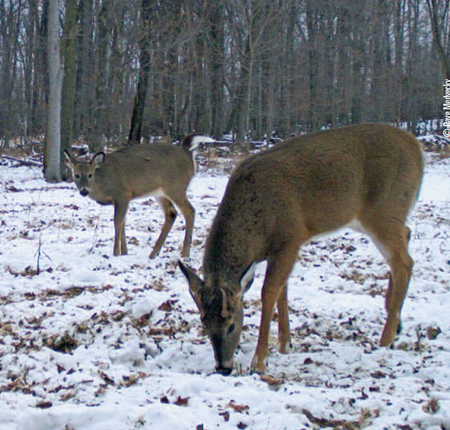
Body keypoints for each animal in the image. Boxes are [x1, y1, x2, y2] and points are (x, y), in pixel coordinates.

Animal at [64, 134, 213, 256]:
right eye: (76, 175)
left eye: (90, 174)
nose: (84, 191)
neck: (104, 183)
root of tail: (187, 152)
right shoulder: (121, 200)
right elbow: (123, 222)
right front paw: (124, 252)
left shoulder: (123, 194)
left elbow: (117, 222)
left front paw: (116, 253)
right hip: (159, 192)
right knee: (171, 213)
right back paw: (154, 253)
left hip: (176, 186)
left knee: (189, 210)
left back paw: (185, 253)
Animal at [178, 122, 422, 374]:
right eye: (204, 324)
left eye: (232, 325)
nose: (223, 367)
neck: (258, 224)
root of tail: (417, 147)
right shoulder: (277, 250)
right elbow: (282, 291)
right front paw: (286, 343)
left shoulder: (291, 237)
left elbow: (269, 292)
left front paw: (260, 360)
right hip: (372, 217)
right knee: (406, 237)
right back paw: (396, 322)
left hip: (385, 208)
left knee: (404, 262)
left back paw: (387, 338)